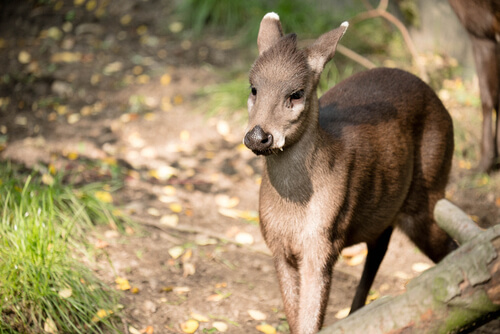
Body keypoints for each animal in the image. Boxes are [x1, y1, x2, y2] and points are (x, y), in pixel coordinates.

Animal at [244, 13, 458, 334]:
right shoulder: (277, 246)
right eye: (253, 88)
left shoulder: (323, 241)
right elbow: (295, 318)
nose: (258, 136)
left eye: (296, 93)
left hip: (430, 189)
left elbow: (310, 321)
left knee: (451, 248)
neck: (293, 212)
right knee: (380, 247)